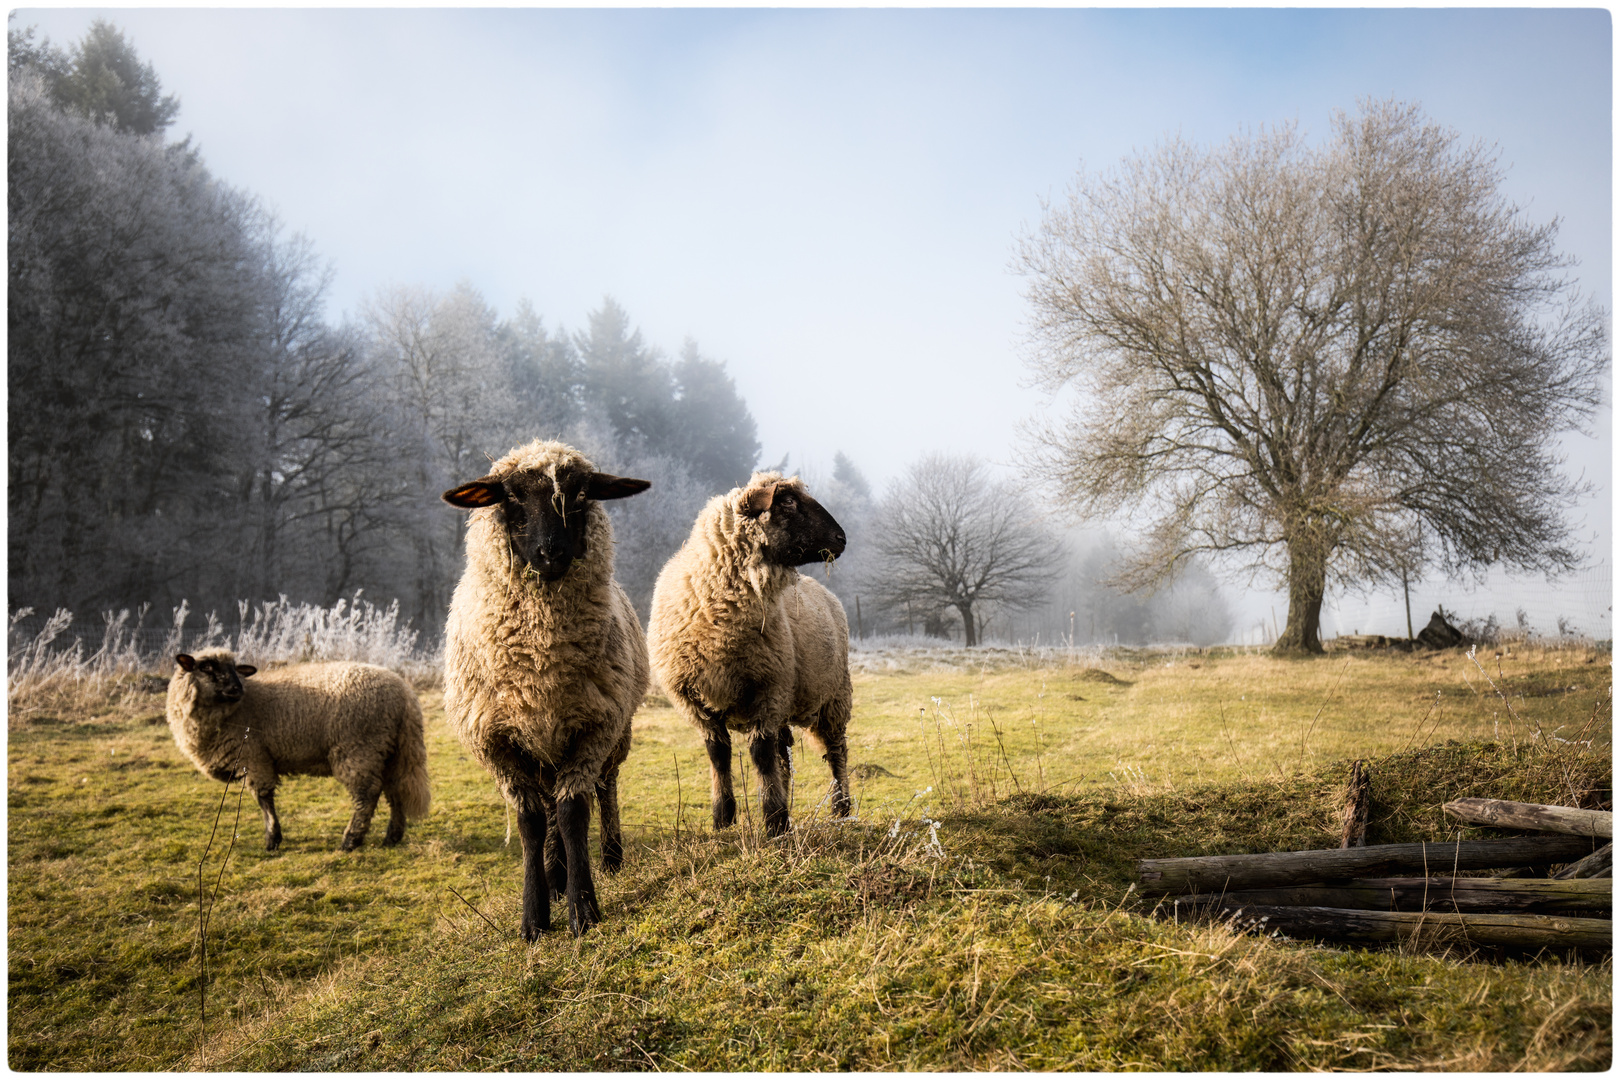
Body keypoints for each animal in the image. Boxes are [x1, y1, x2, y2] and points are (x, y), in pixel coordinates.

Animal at [166, 650, 430, 854]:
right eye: (206, 667)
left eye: (234, 668)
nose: (236, 688)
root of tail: (404, 694)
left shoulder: (254, 757)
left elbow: (264, 799)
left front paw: (272, 840)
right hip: (390, 750)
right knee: (395, 790)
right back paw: (392, 837)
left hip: (359, 748)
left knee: (367, 795)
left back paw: (350, 841)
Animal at [443, 437, 651, 939]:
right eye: (511, 496)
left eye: (581, 495)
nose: (551, 553)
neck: (540, 663)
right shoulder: (497, 742)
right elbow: (532, 821)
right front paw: (534, 916)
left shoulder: (593, 727)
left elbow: (575, 812)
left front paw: (583, 910)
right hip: (542, 747)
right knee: (550, 810)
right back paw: (555, 878)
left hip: (614, 734)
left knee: (605, 789)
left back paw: (609, 860)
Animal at [644, 469, 855, 835]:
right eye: (788, 501)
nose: (841, 539)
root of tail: (826, 592)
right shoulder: (695, 701)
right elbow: (719, 754)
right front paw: (723, 817)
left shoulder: (767, 689)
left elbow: (759, 753)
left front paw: (773, 820)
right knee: (784, 754)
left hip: (833, 695)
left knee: (835, 750)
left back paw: (841, 807)